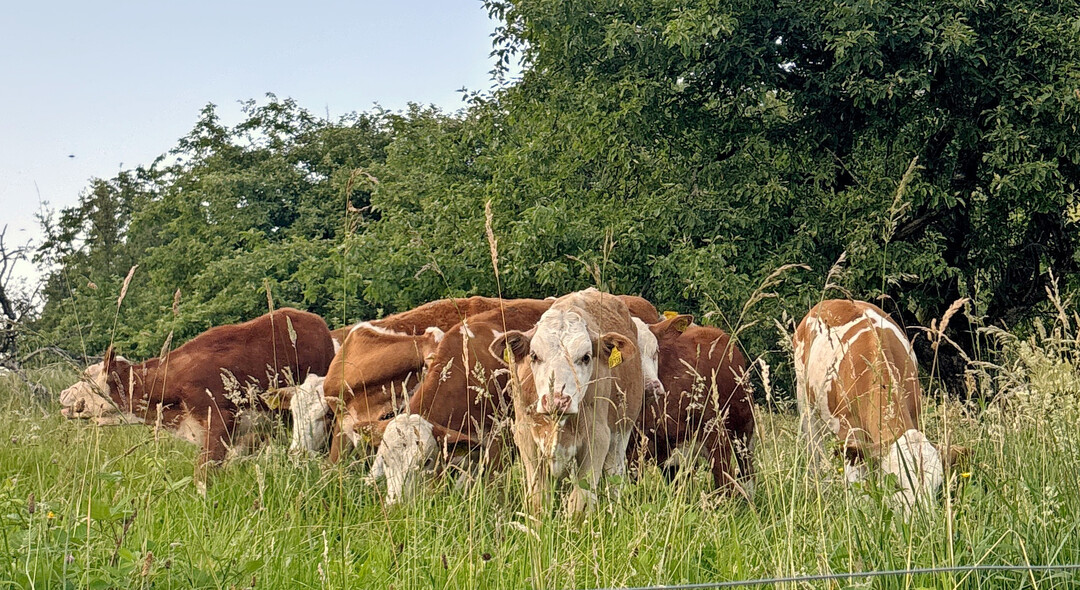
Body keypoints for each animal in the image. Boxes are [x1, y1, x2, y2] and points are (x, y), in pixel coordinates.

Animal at [492, 288, 644, 513]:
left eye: (586, 357)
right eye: (534, 355)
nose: (557, 401)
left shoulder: (597, 439)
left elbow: (579, 502)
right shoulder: (526, 437)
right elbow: (539, 499)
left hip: (620, 434)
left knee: (614, 478)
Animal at [633, 314, 755, 496]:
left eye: (655, 352)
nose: (651, 387)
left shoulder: (715, 433)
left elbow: (724, 483)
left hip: (743, 429)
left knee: (746, 471)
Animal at [794, 299, 956, 514]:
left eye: (937, 484)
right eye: (896, 484)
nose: (922, 517)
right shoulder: (849, 432)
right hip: (805, 403)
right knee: (815, 453)